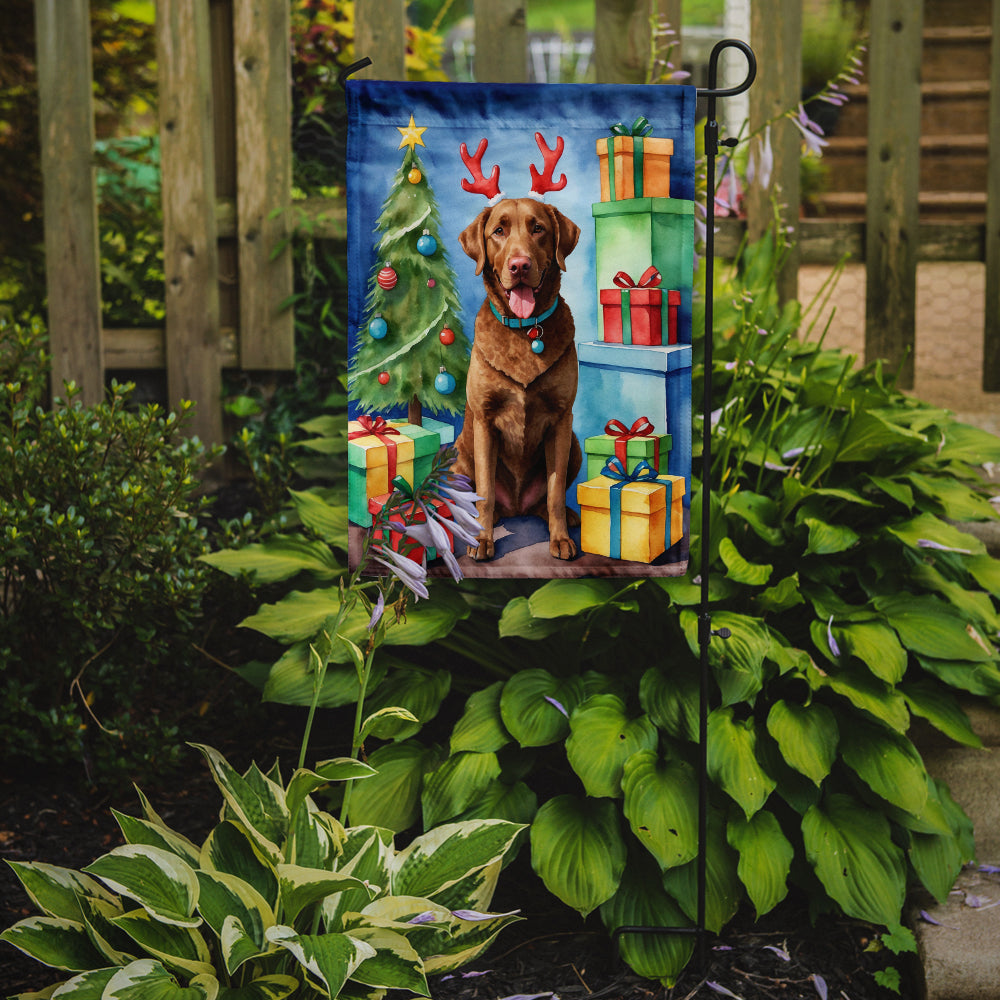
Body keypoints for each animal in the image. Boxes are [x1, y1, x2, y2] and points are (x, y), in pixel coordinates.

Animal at [452, 198, 584, 560]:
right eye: (498, 231)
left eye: (538, 228)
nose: (520, 266)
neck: (525, 331)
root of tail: (516, 508)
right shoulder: (485, 421)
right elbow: (484, 491)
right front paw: (482, 541)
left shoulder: (561, 420)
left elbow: (555, 492)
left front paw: (560, 539)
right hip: (459, 458)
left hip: (575, 445)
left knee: (543, 501)